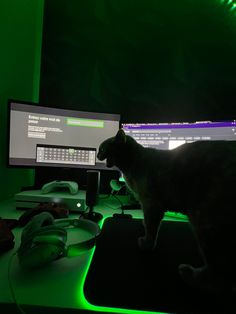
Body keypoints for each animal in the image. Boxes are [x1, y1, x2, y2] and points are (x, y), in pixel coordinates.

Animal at [97, 128, 236, 294]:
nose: (97, 155)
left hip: (206, 223)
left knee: (218, 274)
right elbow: (150, 225)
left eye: (102, 149)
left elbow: (151, 228)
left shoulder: (150, 204)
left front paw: (147, 244)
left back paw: (189, 274)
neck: (132, 164)